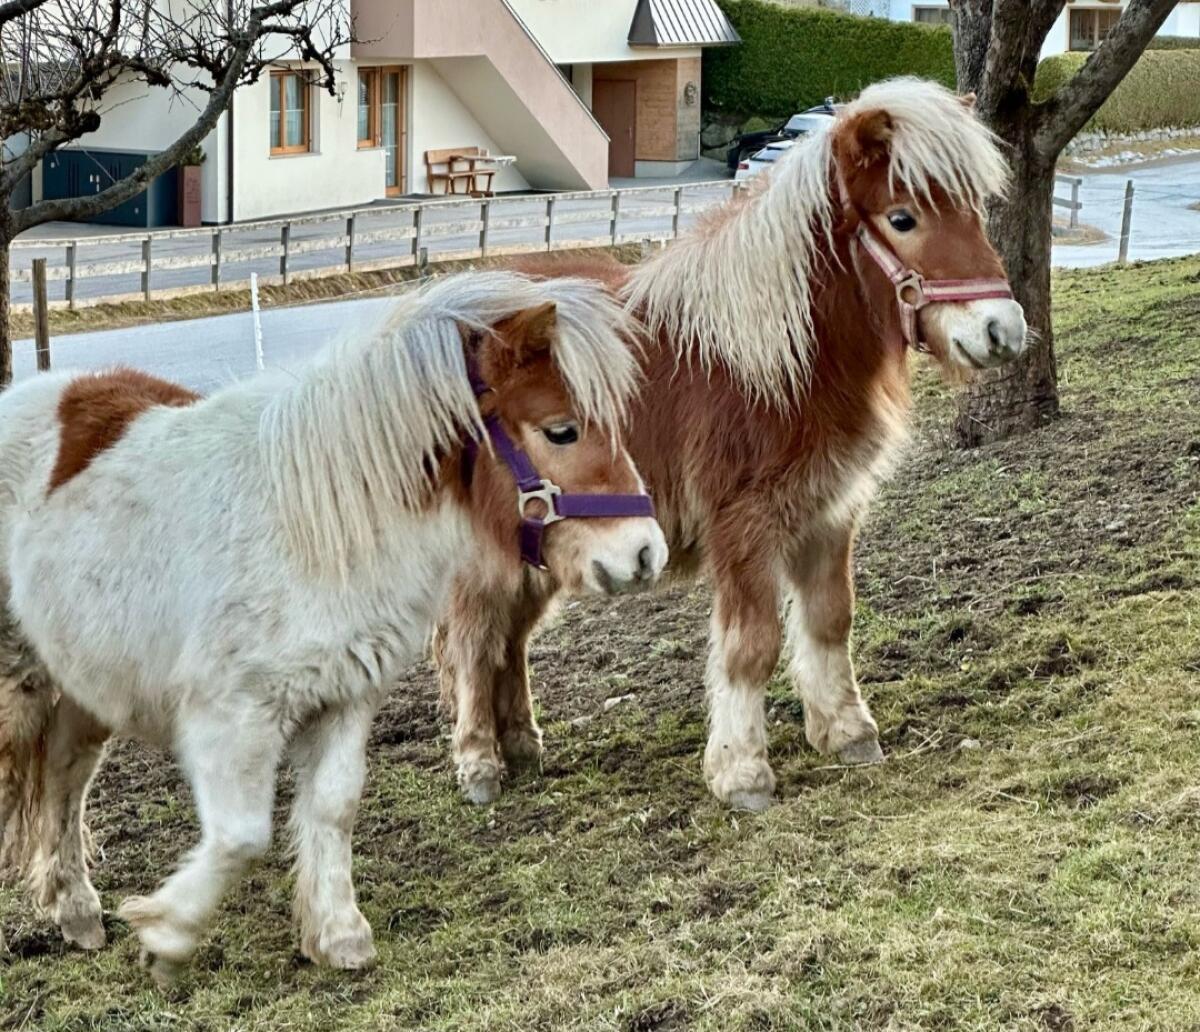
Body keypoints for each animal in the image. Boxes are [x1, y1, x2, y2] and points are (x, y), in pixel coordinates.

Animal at [0, 270, 667, 981]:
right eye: (561, 431)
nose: (644, 552)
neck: (316, 527)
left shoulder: (346, 696)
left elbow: (334, 806)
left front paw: (338, 934)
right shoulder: (230, 717)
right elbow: (241, 836)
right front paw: (166, 933)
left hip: (84, 683)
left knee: (65, 777)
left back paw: (75, 911)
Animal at [435, 78, 1029, 811]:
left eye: (973, 209)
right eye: (902, 218)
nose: (1002, 330)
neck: (772, 358)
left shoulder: (830, 514)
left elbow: (831, 620)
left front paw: (847, 732)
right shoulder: (745, 526)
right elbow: (753, 644)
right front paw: (742, 772)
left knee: (508, 637)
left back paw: (521, 744)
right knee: (472, 637)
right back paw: (480, 762)